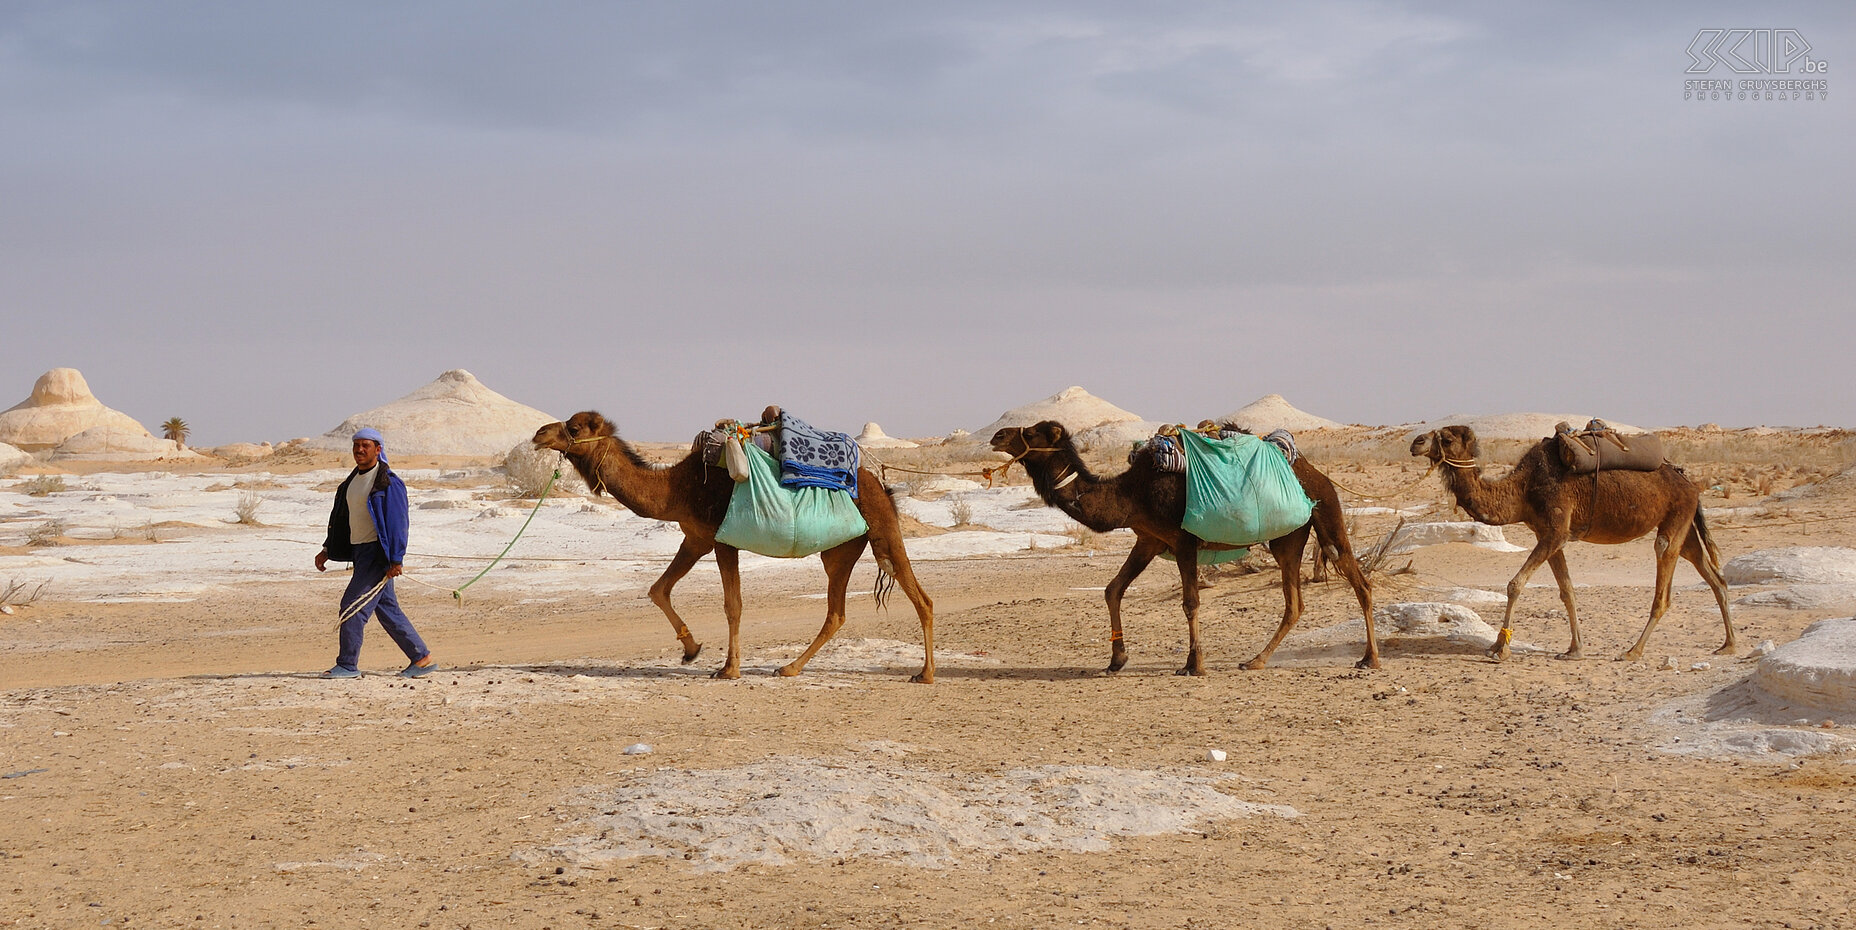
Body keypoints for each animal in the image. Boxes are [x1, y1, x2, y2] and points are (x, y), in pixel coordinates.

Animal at [538, 413, 942, 683]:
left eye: (574, 428)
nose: (539, 434)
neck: (677, 488)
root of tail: (882, 485)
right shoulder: (696, 538)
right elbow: (658, 589)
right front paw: (691, 650)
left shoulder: (720, 539)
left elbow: (732, 604)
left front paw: (728, 668)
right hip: (843, 549)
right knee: (836, 613)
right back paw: (789, 667)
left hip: (884, 534)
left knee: (921, 599)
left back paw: (925, 674)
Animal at [987, 421, 1380, 675]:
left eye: (1032, 432)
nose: (997, 435)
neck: (1130, 492)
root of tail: (1316, 473)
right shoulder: (1148, 539)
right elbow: (1113, 589)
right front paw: (1117, 659)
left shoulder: (1183, 540)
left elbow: (1190, 602)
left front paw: (1195, 665)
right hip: (1288, 538)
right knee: (1295, 603)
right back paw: (1256, 660)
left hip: (1327, 514)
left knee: (1360, 583)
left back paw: (1369, 659)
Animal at [1403, 425, 1737, 657]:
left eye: (1447, 439)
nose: (1416, 442)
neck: (1522, 489)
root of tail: (1689, 482)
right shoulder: (1546, 534)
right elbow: (1567, 591)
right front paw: (1574, 649)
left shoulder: (1556, 531)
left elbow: (1515, 584)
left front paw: (1500, 648)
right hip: (1683, 522)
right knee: (1713, 575)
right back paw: (1729, 645)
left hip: (1676, 516)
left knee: (1664, 574)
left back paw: (1633, 652)